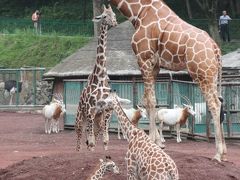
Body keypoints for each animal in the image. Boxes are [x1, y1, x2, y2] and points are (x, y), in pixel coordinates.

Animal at [74, 4, 116, 151]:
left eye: (114, 14)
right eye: (104, 16)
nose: (114, 23)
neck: (100, 78)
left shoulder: (106, 111)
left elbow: (105, 140)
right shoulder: (90, 110)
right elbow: (91, 142)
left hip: (97, 118)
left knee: (93, 133)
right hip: (81, 116)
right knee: (80, 135)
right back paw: (78, 151)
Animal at [109, 0, 226, 162]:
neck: (138, 12)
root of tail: (216, 49)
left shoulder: (144, 58)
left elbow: (151, 100)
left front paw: (152, 141)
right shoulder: (155, 65)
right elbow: (147, 100)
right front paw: (159, 142)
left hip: (201, 74)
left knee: (214, 104)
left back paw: (217, 154)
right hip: (212, 76)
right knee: (220, 102)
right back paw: (224, 152)